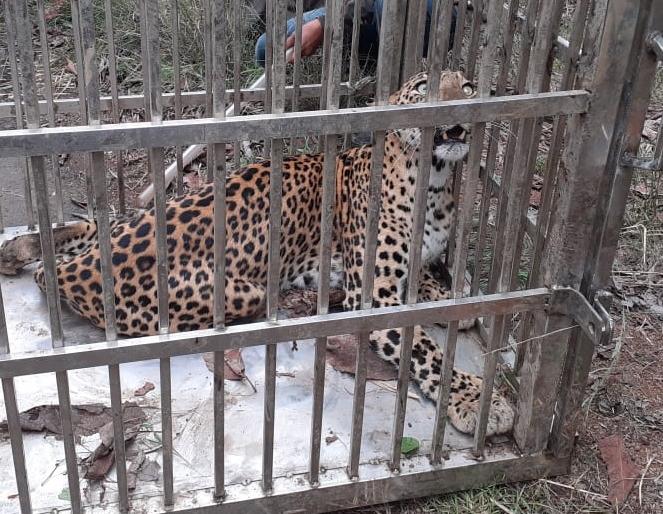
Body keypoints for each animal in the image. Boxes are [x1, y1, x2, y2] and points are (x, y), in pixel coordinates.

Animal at [0, 70, 514, 436]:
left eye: (468, 85)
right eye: (426, 87)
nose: (461, 102)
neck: (435, 184)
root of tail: (79, 272)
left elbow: (428, 276)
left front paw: (457, 296)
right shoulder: (374, 295)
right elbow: (424, 348)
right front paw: (476, 400)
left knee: (89, 228)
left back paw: (17, 248)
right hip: (236, 291)